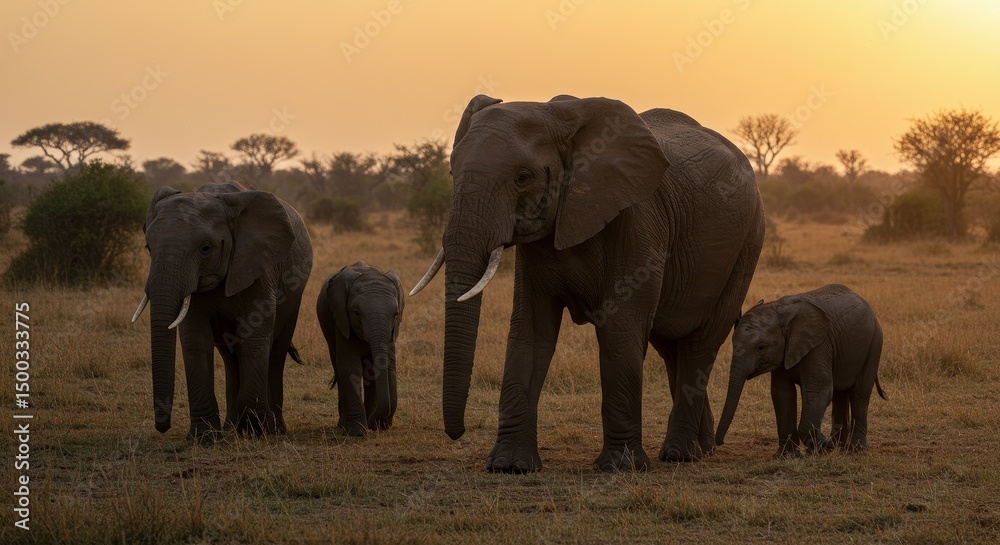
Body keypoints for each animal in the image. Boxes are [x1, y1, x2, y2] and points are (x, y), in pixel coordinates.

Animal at [132, 181, 312, 443]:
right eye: (148, 247)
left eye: (206, 248)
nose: (162, 427)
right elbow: (195, 339)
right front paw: (204, 439)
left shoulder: (258, 265)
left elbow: (255, 336)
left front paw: (256, 432)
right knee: (230, 357)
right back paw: (230, 428)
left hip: (294, 293)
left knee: (276, 351)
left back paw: (274, 428)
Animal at [316, 262, 404, 435]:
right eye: (356, 313)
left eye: (396, 314)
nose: (379, 424)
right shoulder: (342, 320)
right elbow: (350, 367)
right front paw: (356, 432)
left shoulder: (392, 332)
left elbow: (387, 366)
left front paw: (375, 425)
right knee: (339, 369)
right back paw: (343, 424)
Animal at [410, 94, 764, 472]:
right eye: (452, 173)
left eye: (522, 177)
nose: (457, 433)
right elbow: (530, 331)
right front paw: (510, 465)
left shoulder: (637, 220)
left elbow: (620, 329)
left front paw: (620, 467)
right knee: (671, 345)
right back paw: (702, 449)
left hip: (747, 243)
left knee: (701, 341)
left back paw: (679, 455)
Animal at [715, 284, 886, 458]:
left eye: (761, 347)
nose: (720, 442)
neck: (778, 311)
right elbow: (782, 394)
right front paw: (787, 456)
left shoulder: (818, 346)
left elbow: (818, 390)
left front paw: (821, 446)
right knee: (839, 393)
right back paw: (839, 445)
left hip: (874, 343)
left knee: (860, 392)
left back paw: (854, 448)